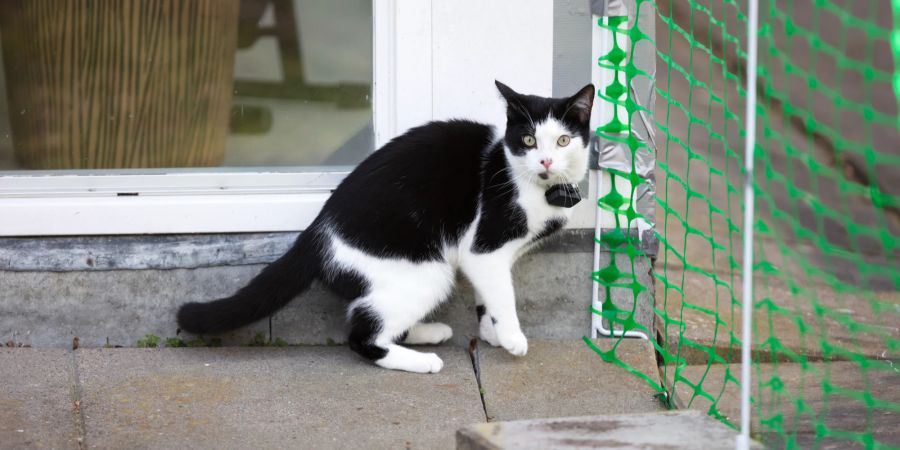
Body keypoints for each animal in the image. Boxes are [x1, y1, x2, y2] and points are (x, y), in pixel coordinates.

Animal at [178, 81, 596, 372]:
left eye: (563, 140)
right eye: (528, 139)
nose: (545, 161)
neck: (533, 184)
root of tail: (316, 232)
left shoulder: (492, 256)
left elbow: (487, 295)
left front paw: (491, 332)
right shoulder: (485, 248)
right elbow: (502, 294)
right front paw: (511, 337)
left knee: (373, 315)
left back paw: (429, 333)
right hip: (427, 271)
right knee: (361, 334)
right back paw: (422, 361)